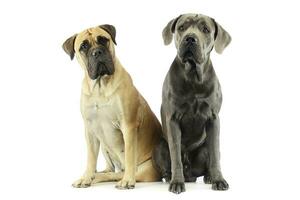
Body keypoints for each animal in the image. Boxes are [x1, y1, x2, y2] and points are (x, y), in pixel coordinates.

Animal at [61, 24, 163, 189]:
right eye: (83, 46)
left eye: (103, 40)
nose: (97, 52)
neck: (100, 87)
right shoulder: (90, 129)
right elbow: (91, 157)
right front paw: (86, 177)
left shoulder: (128, 125)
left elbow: (129, 154)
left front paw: (127, 180)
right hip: (103, 144)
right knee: (110, 169)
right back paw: (96, 174)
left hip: (144, 168)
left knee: (117, 174)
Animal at [152, 13, 232, 194]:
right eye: (181, 27)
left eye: (205, 29)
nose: (190, 38)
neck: (194, 77)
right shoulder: (173, 120)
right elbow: (175, 156)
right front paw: (176, 182)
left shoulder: (213, 119)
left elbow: (214, 155)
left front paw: (218, 180)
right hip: (159, 145)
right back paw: (170, 177)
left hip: (205, 147)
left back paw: (209, 177)